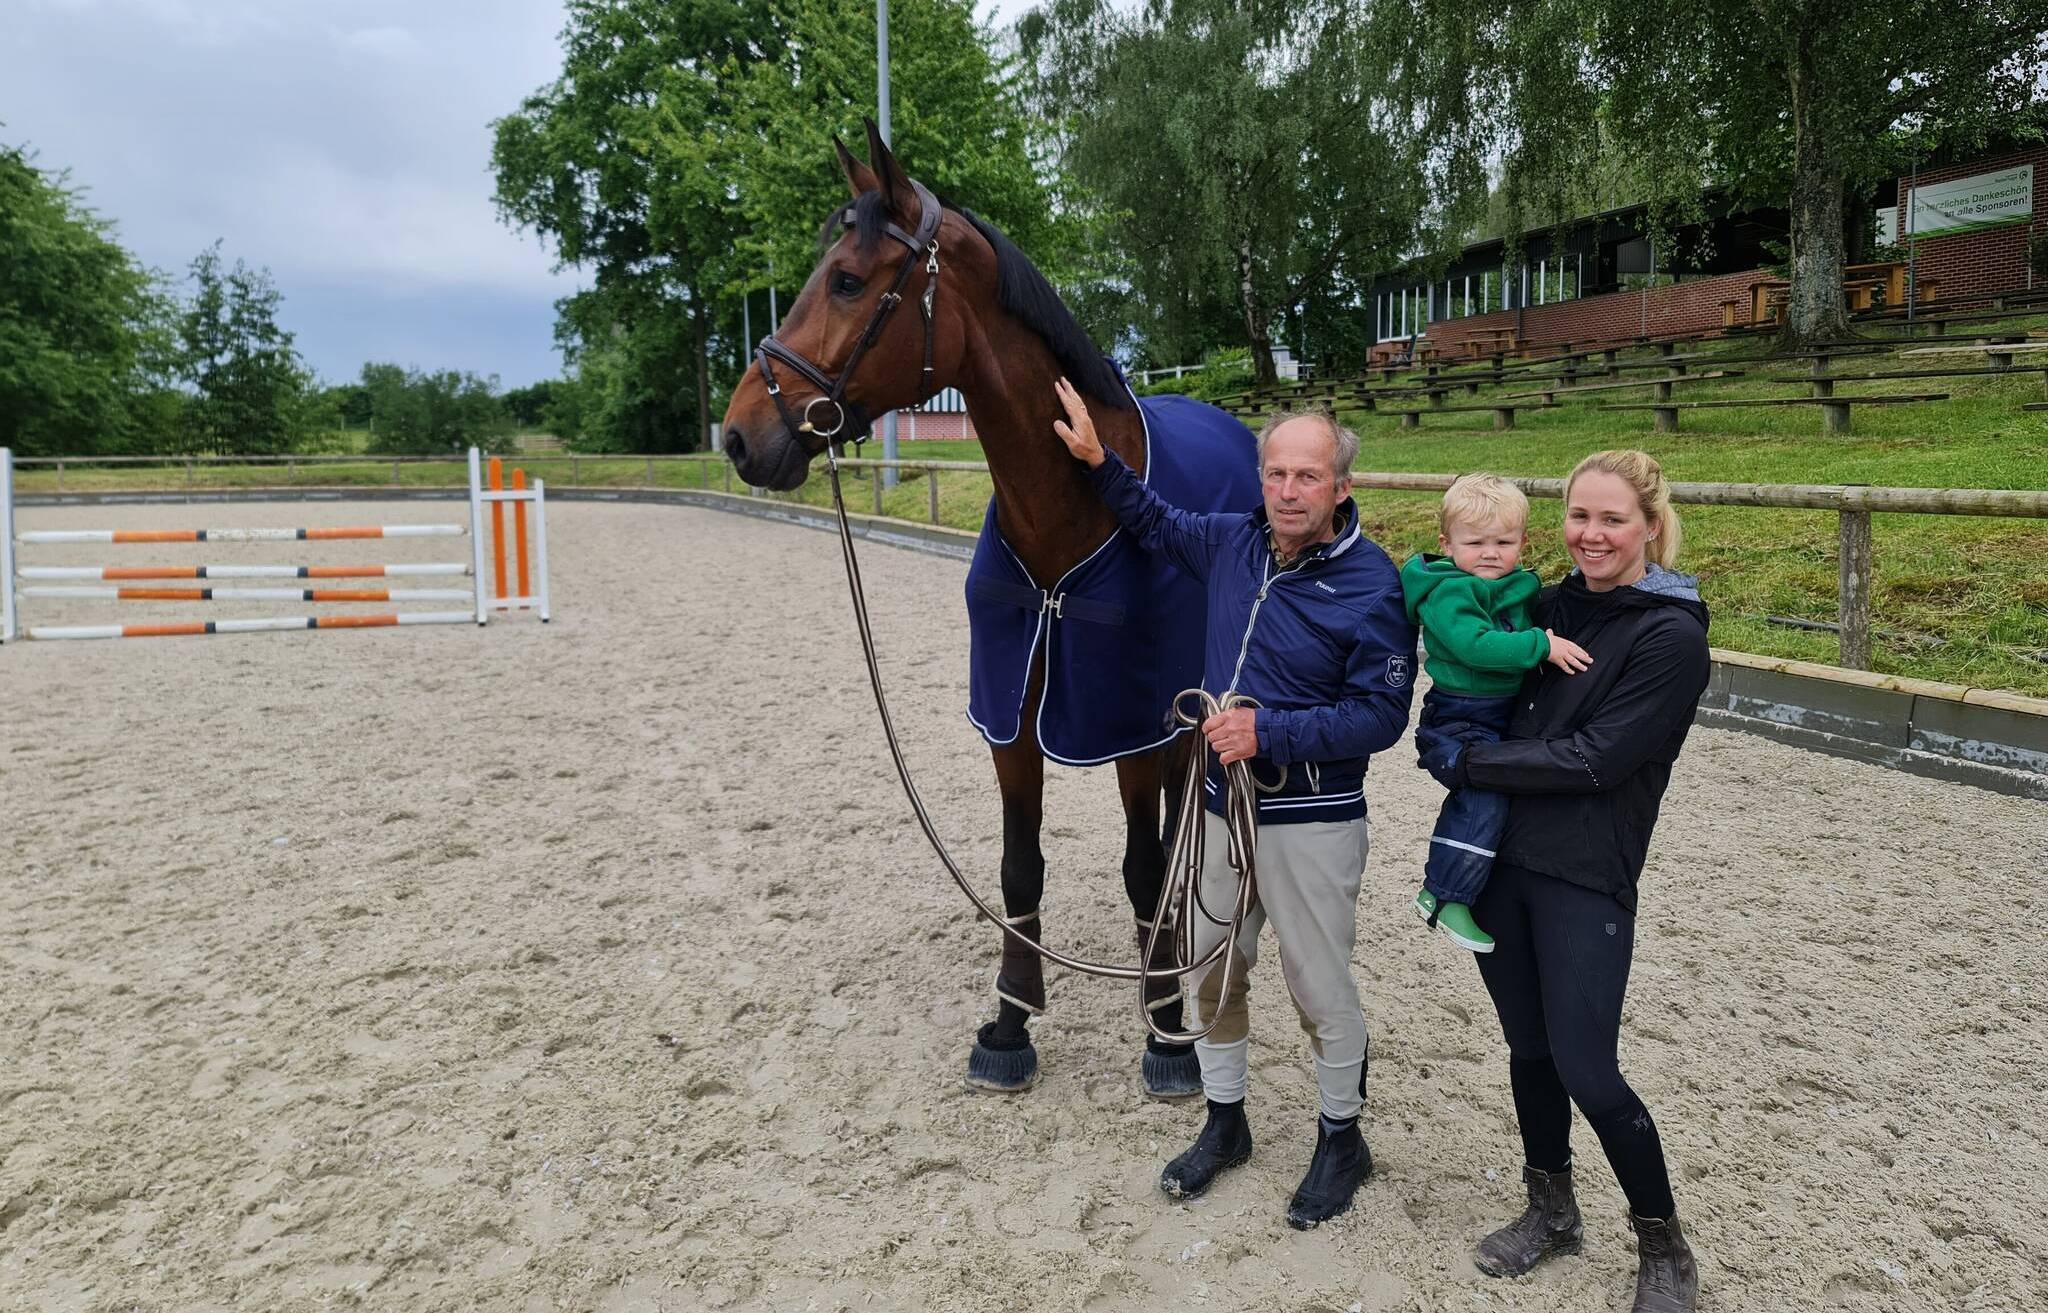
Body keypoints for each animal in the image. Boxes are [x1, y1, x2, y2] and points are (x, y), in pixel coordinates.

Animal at [720, 125, 1261, 1097]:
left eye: (847, 280)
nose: (743, 436)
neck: (1070, 510)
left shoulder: (1129, 724)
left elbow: (1140, 864)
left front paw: (1165, 1030)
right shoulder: (1011, 721)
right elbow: (1019, 869)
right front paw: (1011, 1020)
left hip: (1186, 708)